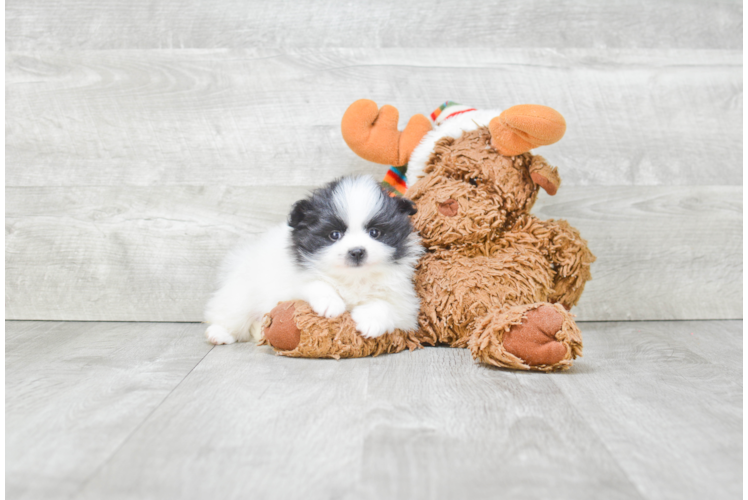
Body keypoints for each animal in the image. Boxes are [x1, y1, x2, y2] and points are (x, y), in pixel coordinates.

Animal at [205, 175, 424, 344]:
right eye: (334, 235)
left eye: (375, 233)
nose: (356, 251)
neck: (353, 278)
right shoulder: (291, 282)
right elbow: (315, 283)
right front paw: (330, 303)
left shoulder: (404, 301)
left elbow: (387, 305)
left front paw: (371, 321)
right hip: (242, 294)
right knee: (230, 314)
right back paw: (219, 333)